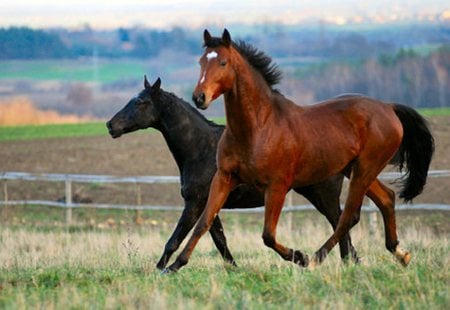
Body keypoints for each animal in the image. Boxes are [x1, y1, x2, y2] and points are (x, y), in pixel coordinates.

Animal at [105, 76, 358, 270]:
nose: (110, 125)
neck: (200, 148)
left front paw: (158, 270)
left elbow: (174, 240)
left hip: (322, 194)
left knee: (341, 222)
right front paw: (235, 269)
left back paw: (341, 262)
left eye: (141, 102)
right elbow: (220, 241)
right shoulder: (209, 204)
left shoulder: (194, 203)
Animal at [163, 29, 434, 272]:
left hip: (364, 169)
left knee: (347, 216)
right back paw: (400, 254)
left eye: (223, 62)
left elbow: (268, 235)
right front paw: (174, 266)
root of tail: (388, 108)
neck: (258, 128)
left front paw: (299, 257)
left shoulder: (277, 186)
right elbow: (204, 223)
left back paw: (315, 259)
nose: (199, 97)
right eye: (201, 61)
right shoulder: (224, 177)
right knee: (386, 198)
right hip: (356, 169)